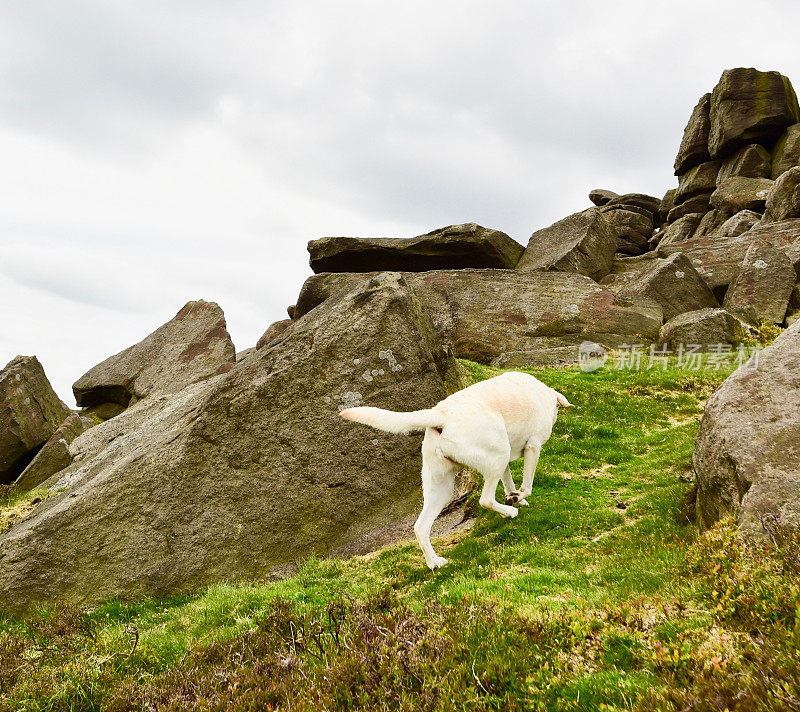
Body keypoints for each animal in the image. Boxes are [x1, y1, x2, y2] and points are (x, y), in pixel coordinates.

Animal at [340, 370, 572, 572]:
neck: (543, 393)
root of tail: (441, 414)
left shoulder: (507, 462)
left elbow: (508, 482)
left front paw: (514, 497)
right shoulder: (533, 447)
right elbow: (527, 486)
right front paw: (517, 498)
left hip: (442, 488)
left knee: (420, 527)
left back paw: (435, 563)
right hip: (498, 454)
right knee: (485, 500)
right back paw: (509, 512)